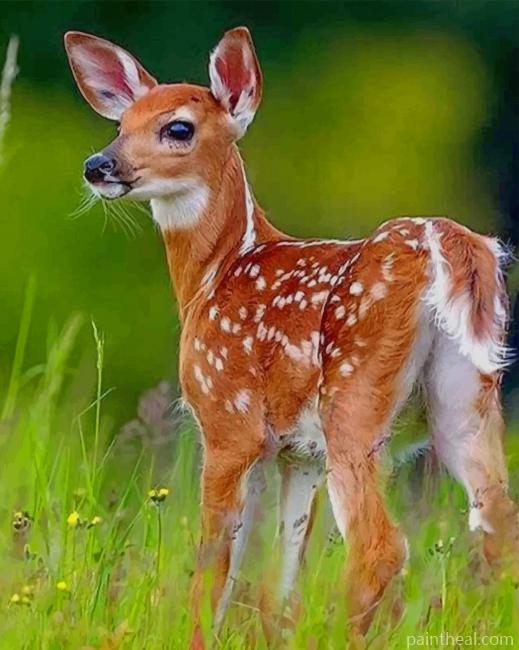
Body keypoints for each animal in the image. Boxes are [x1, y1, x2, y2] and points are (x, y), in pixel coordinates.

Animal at [64, 26, 518, 647]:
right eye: (120, 124)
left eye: (177, 127)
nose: (98, 165)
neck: (213, 276)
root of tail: (446, 243)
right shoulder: (295, 452)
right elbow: (281, 573)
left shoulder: (228, 420)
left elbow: (215, 563)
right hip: (466, 398)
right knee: (498, 525)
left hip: (354, 399)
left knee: (380, 546)